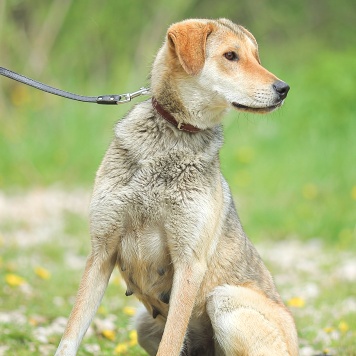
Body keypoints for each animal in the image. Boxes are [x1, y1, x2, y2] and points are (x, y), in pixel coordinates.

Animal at [55, 18, 298, 354]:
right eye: (231, 56)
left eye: (255, 56)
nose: (284, 89)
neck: (172, 136)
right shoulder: (100, 253)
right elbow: (71, 333)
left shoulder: (189, 263)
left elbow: (170, 343)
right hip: (142, 325)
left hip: (224, 299)